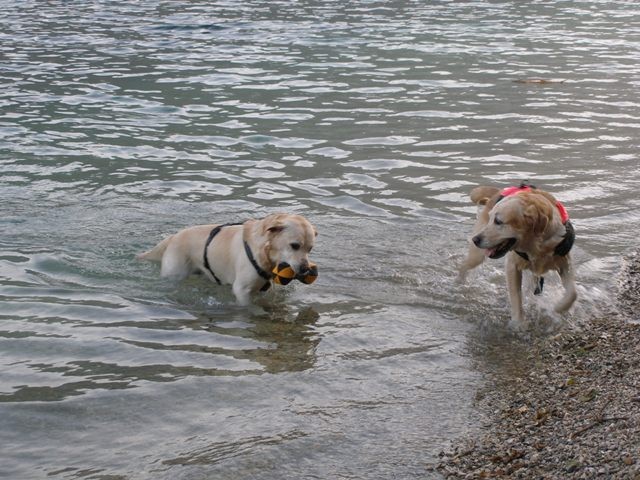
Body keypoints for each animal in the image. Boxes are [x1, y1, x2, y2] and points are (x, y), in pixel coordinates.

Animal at [141, 213, 320, 304]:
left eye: (310, 248)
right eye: (294, 245)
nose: (306, 269)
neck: (264, 251)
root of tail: (173, 237)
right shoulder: (242, 290)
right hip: (175, 272)